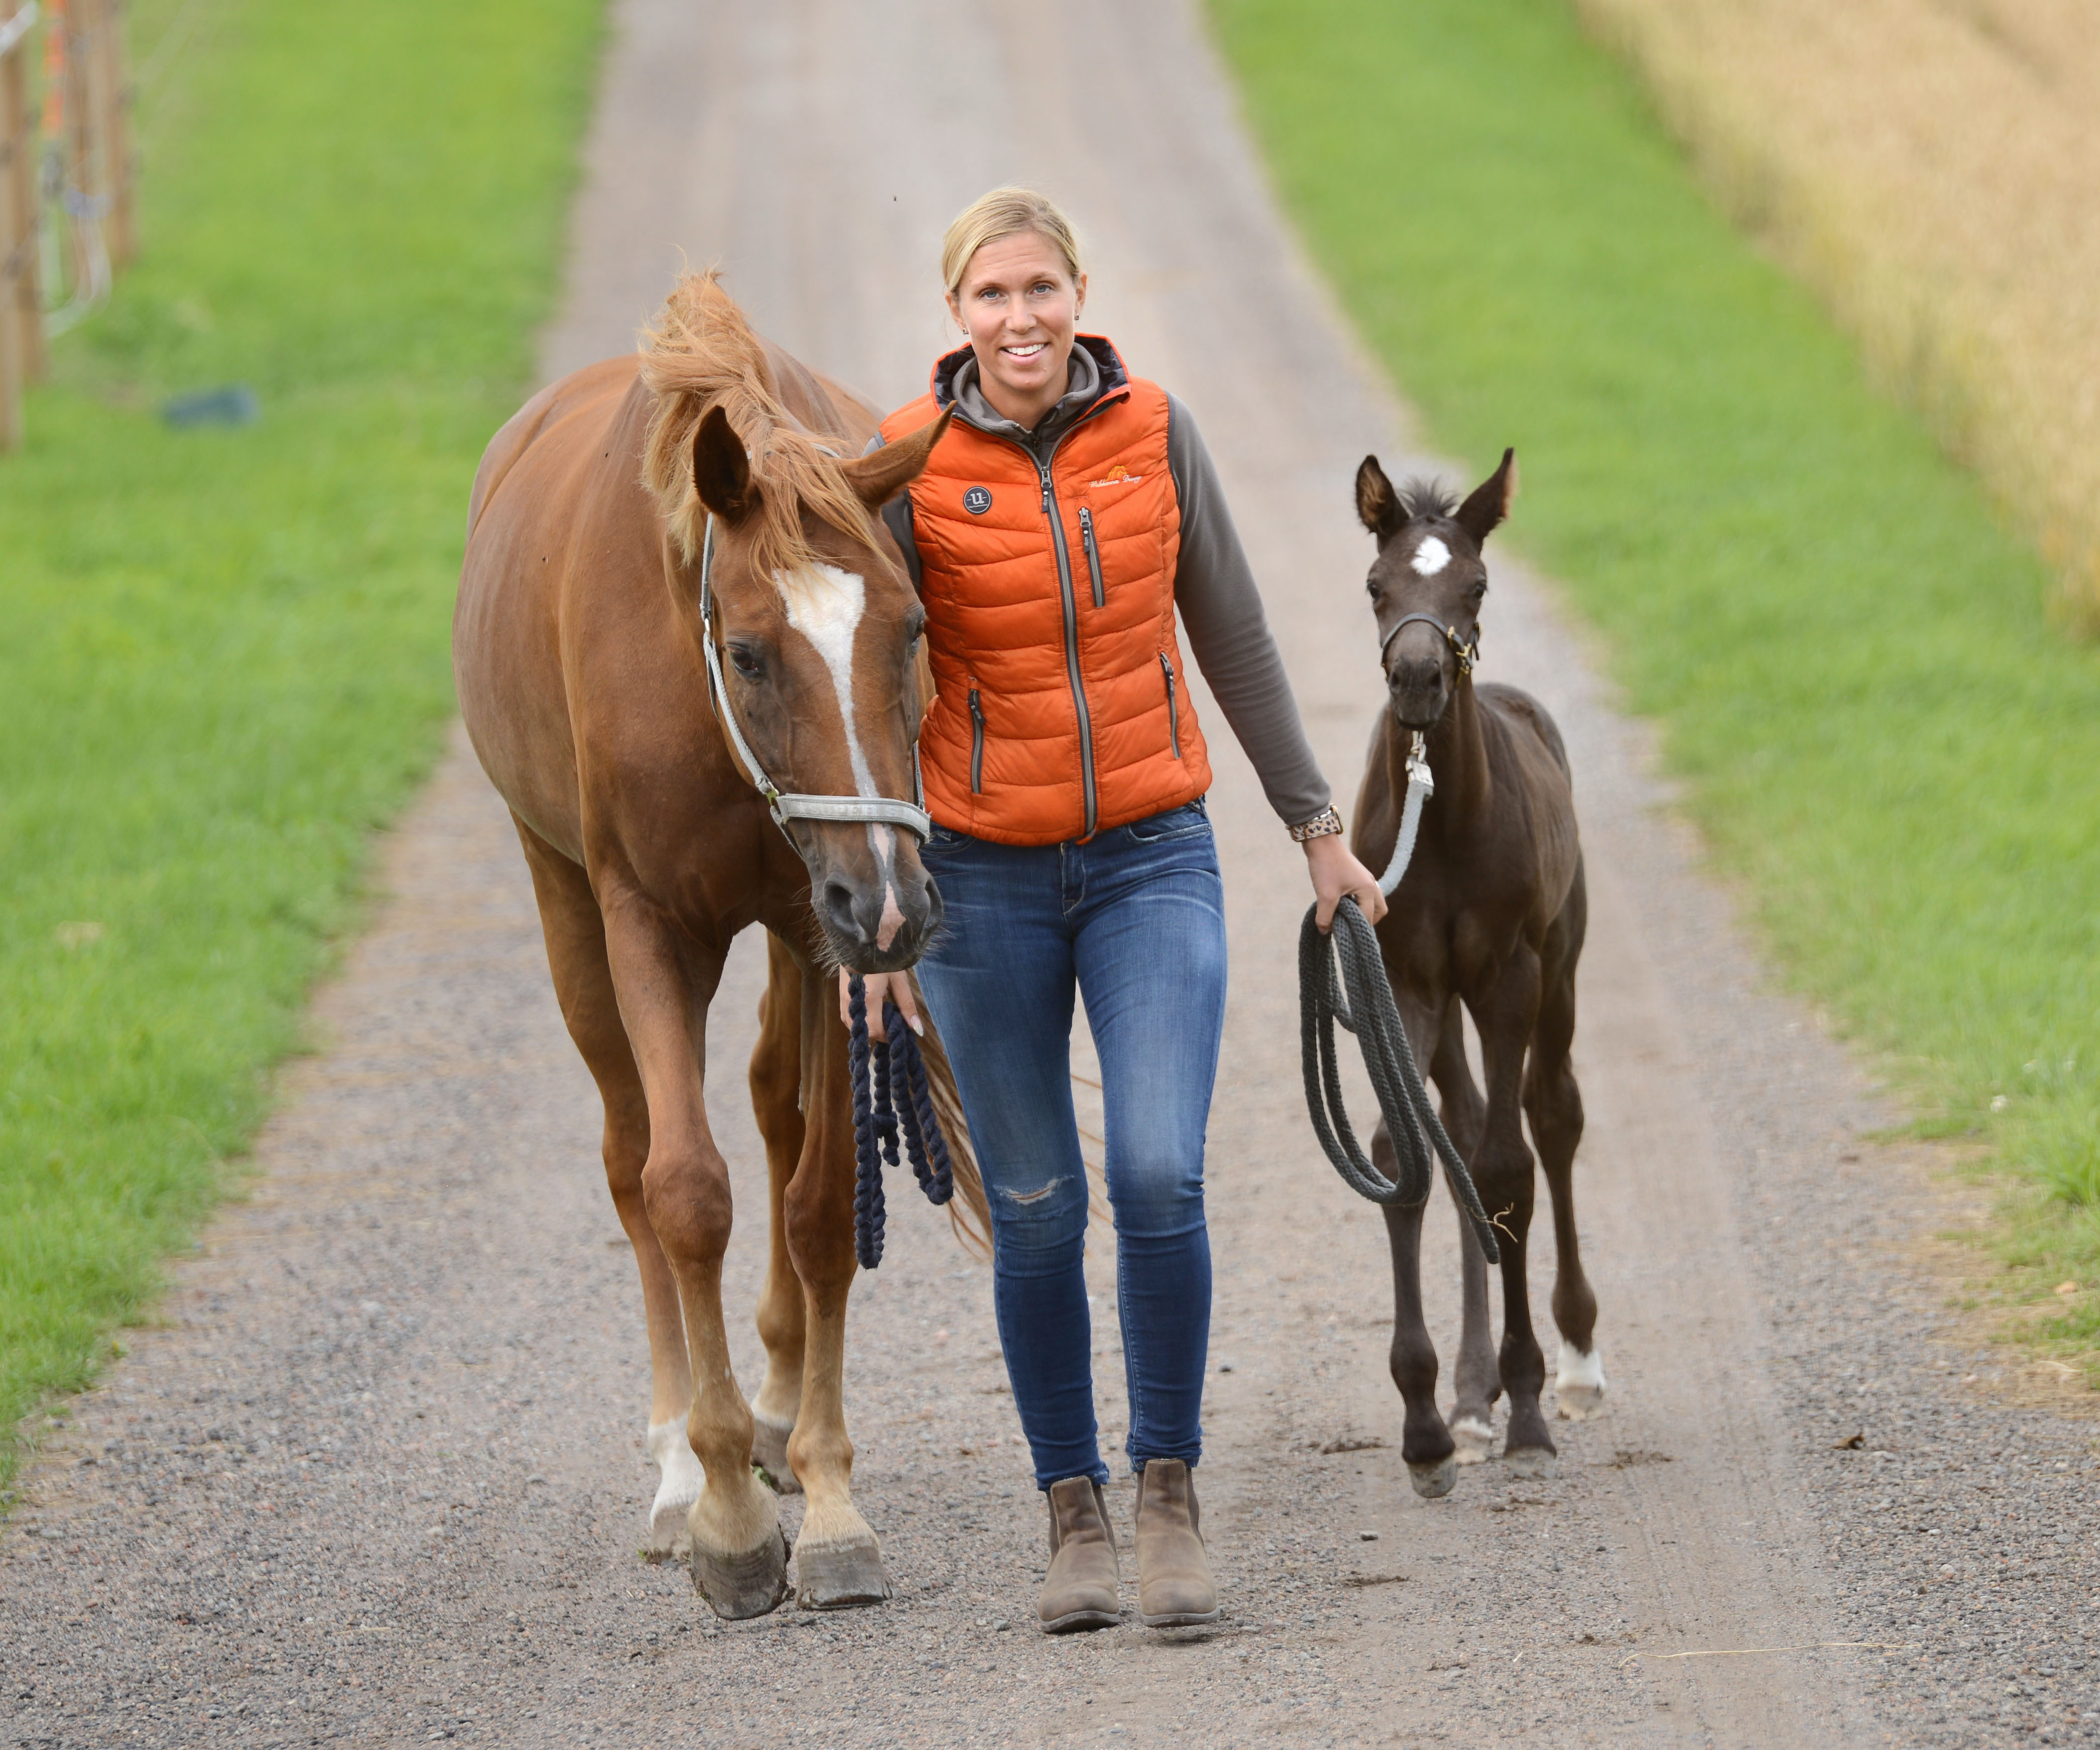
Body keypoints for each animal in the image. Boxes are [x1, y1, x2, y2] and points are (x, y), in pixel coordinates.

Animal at [454, 272, 988, 1619]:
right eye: (748, 650)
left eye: (913, 628)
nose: (897, 902)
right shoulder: (648, 922)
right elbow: (683, 1188)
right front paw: (726, 1514)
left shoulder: (820, 927)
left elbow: (820, 1199)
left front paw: (831, 1497)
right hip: (568, 905)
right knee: (628, 1150)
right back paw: (679, 1459)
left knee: (778, 1114)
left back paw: (777, 1408)